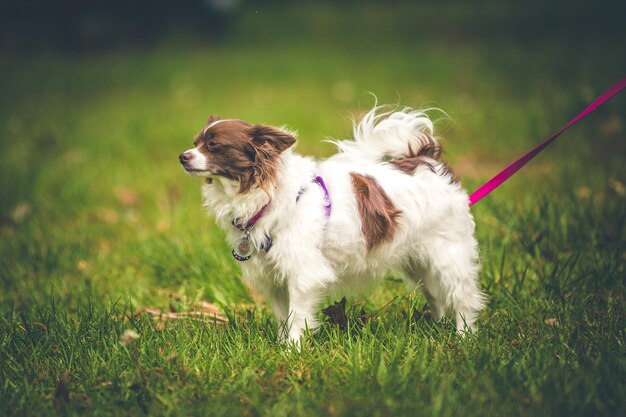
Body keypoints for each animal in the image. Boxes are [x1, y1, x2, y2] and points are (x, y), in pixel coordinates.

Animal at [178, 107, 486, 344]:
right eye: (195, 142)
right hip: (418, 262)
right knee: (437, 296)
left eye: (214, 146)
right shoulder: (274, 276)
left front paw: (292, 351)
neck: (266, 195)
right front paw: (280, 346)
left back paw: (465, 337)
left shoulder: (302, 274)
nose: (183, 155)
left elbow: (297, 317)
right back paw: (437, 327)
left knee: (463, 298)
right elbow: (282, 316)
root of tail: (426, 160)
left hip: (448, 256)